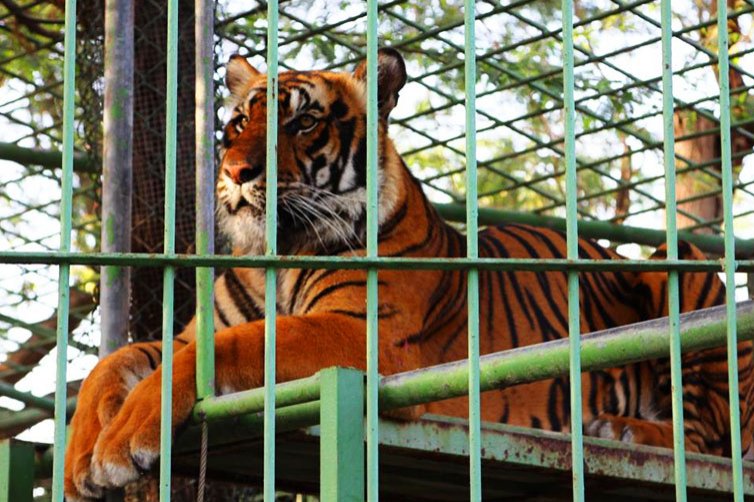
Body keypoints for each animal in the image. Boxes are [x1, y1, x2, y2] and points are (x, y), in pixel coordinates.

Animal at [64, 49, 752, 500]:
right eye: (238, 123)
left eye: (302, 122)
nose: (235, 172)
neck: (278, 254)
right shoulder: (193, 332)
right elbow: (119, 360)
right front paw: (78, 456)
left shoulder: (365, 333)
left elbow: (235, 347)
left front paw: (122, 440)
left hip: (688, 278)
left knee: (713, 440)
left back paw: (623, 429)